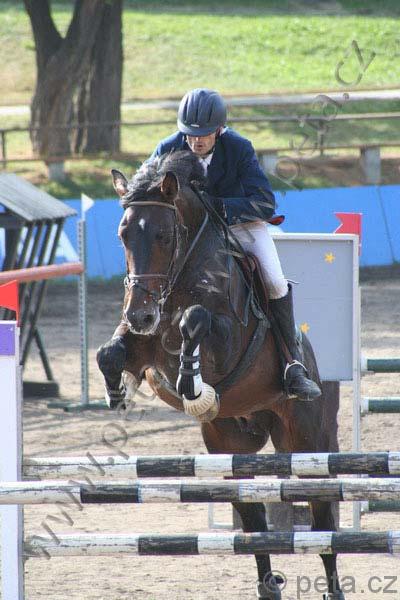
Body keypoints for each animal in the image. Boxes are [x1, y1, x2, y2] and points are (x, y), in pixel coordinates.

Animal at [97, 150, 343, 600]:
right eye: (123, 236)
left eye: (163, 235)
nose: (139, 314)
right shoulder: (142, 345)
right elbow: (111, 352)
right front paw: (115, 392)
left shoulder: (229, 341)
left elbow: (196, 321)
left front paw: (193, 384)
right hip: (228, 445)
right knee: (253, 516)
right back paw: (268, 585)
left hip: (306, 438)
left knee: (321, 517)